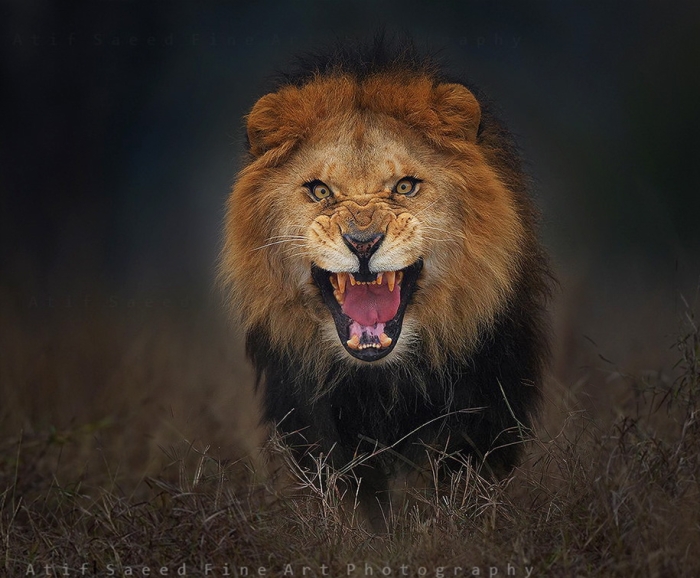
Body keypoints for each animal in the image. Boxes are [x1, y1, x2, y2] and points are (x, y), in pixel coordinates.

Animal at [220, 38, 551, 524]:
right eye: (321, 191)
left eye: (405, 187)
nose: (363, 243)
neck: (382, 381)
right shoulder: (315, 425)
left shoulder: (483, 412)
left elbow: (449, 492)